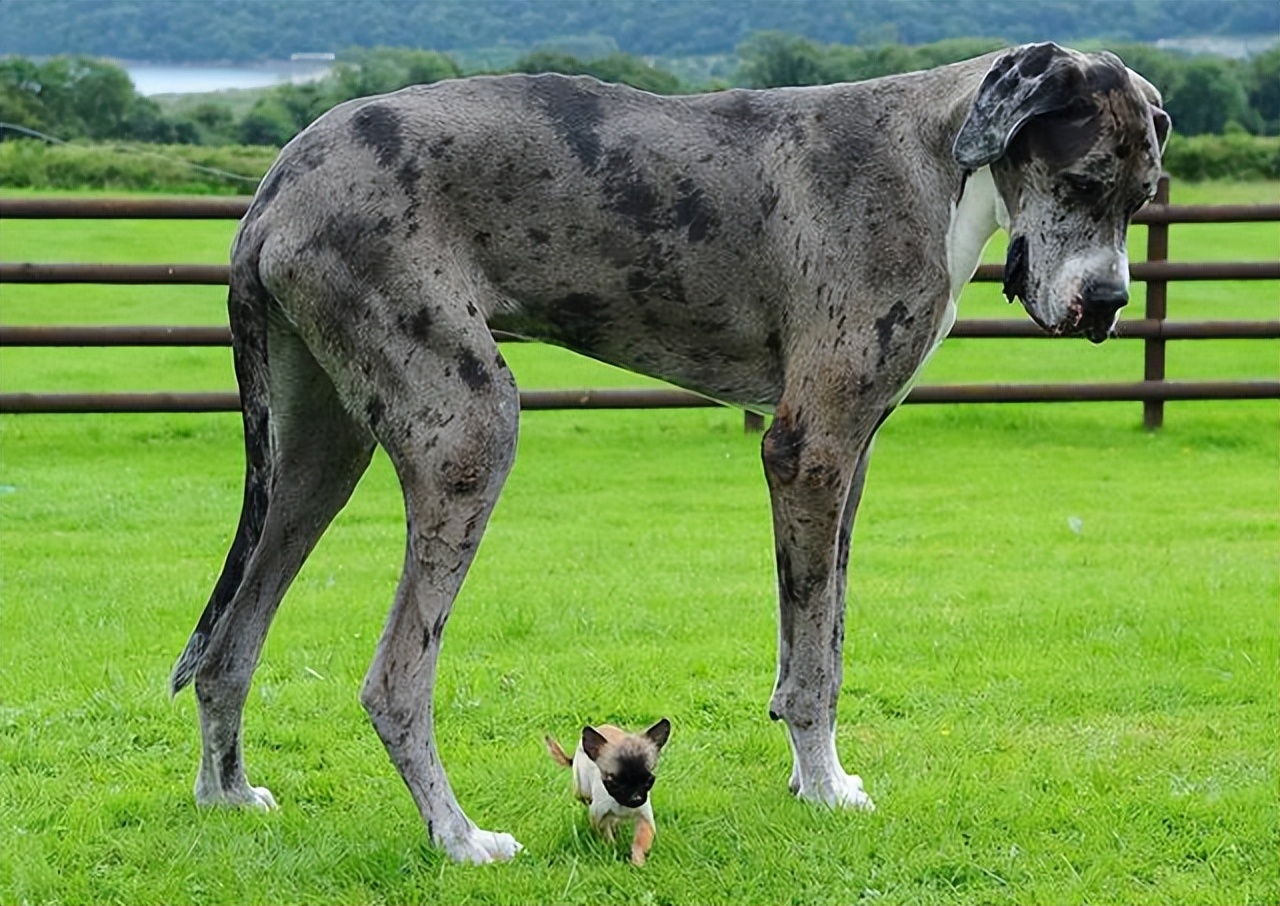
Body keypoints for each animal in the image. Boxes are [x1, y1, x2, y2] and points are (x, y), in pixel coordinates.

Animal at [547, 716, 675, 865]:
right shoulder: (598, 817)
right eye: (614, 782)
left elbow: (640, 842)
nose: (635, 798)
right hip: (581, 790)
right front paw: (613, 850)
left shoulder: (645, 817)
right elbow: (607, 837)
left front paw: (637, 862)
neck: (621, 804)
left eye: (649, 780)